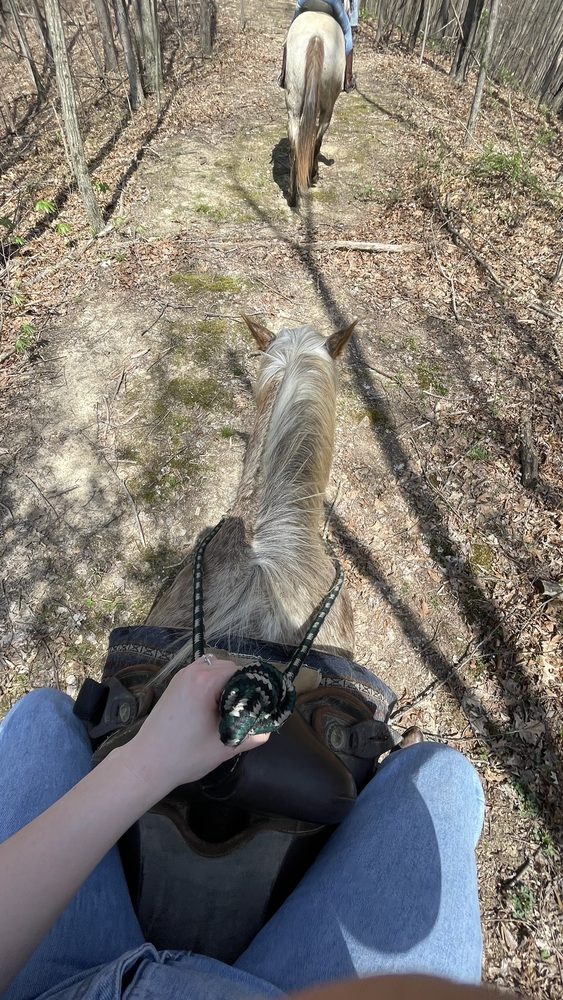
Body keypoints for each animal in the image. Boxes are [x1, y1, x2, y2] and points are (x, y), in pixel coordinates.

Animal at [285, 12, 345, 207]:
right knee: (317, 139)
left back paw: (293, 196)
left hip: (294, 105)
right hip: (328, 107)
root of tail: (317, 37)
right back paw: (312, 175)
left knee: (295, 144)